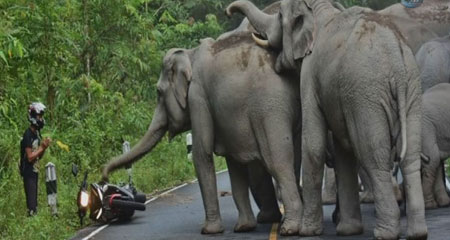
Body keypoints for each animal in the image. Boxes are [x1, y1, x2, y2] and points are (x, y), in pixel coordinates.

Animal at [100, 10, 302, 235]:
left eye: (158, 92)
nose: (104, 178)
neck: (189, 54)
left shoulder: (198, 97)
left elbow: (201, 153)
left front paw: (209, 230)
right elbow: (234, 163)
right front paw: (243, 227)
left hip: (269, 108)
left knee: (277, 160)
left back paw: (290, 228)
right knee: (295, 158)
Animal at [229, 0, 428, 238]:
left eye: (279, 16)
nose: (228, 11)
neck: (319, 8)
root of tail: (395, 55)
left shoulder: (309, 74)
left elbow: (313, 145)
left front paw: (307, 232)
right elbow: (343, 151)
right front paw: (348, 230)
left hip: (365, 94)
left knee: (373, 155)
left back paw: (384, 233)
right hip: (412, 88)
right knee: (410, 156)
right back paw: (418, 233)